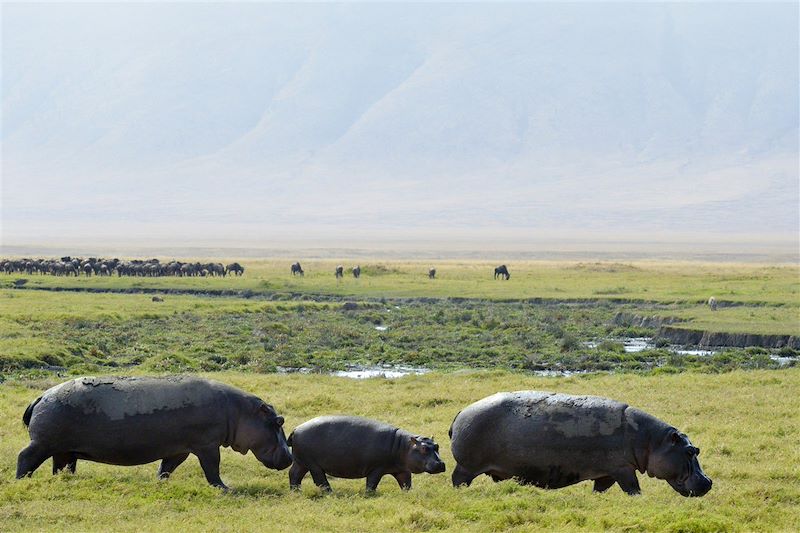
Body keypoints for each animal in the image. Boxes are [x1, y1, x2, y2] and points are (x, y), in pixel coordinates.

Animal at [288, 414, 446, 492]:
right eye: (424, 448)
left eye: (437, 446)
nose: (441, 463)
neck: (405, 446)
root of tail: (296, 428)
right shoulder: (376, 469)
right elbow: (372, 483)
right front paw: (369, 495)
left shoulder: (402, 470)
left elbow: (406, 483)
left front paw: (409, 494)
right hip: (313, 464)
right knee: (320, 480)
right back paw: (330, 493)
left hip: (301, 462)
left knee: (294, 475)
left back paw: (296, 491)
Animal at [450, 388, 712, 496]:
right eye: (690, 451)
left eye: (697, 449)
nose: (709, 482)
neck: (651, 440)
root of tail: (462, 411)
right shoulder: (623, 469)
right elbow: (633, 488)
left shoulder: (607, 473)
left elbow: (601, 489)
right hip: (467, 467)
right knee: (457, 480)